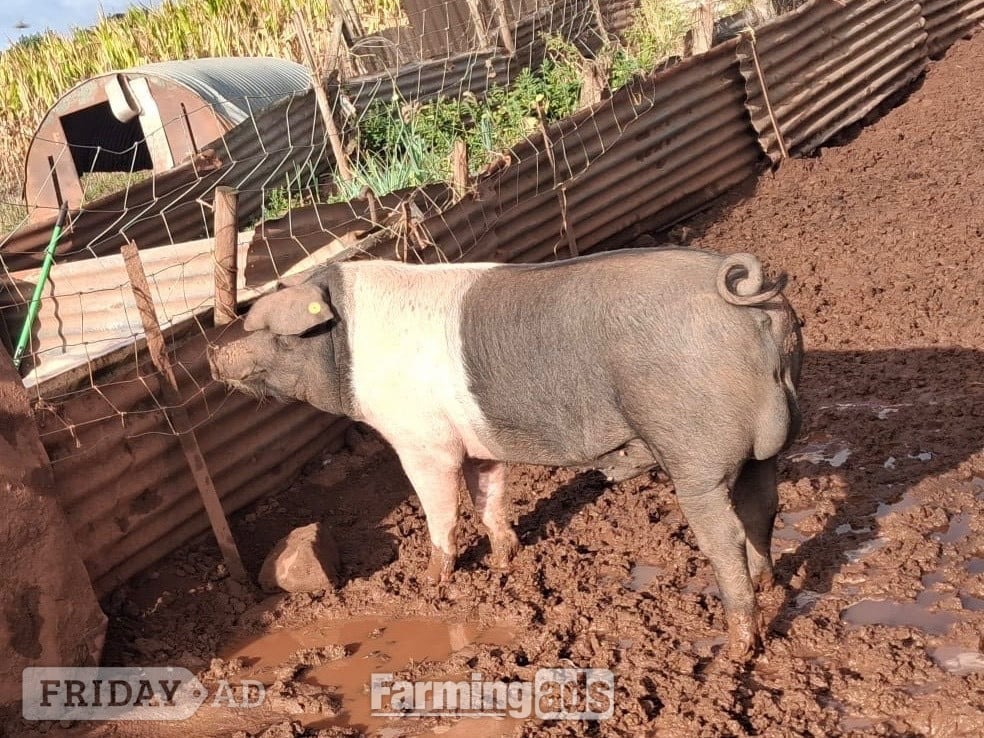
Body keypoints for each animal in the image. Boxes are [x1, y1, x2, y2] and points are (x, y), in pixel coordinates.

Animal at [209, 247, 802, 659]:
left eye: (262, 327)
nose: (213, 354)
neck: (345, 350)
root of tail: (748, 298)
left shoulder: (423, 441)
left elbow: (440, 511)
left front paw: (430, 582)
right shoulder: (480, 444)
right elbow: (488, 498)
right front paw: (502, 562)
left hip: (693, 452)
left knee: (723, 533)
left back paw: (736, 649)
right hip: (770, 444)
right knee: (762, 508)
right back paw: (768, 585)